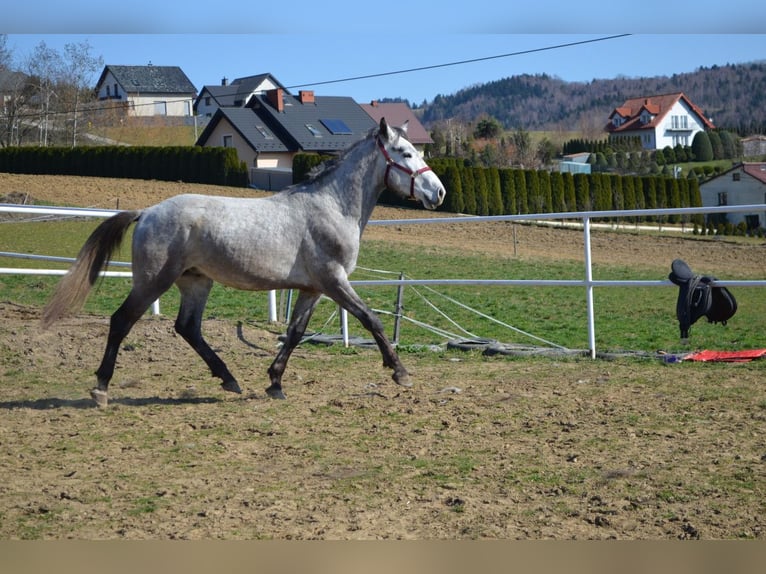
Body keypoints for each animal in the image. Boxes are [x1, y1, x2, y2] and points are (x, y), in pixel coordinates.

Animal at [41, 118, 446, 407]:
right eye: (405, 153)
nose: (439, 192)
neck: (331, 206)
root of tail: (147, 212)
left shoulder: (313, 288)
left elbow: (295, 332)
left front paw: (275, 383)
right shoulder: (334, 281)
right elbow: (371, 320)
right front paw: (400, 372)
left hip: (196, 281)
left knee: (187, 327)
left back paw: (229, 379)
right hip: (153, 281)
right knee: (122, 321)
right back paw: (101, 388)